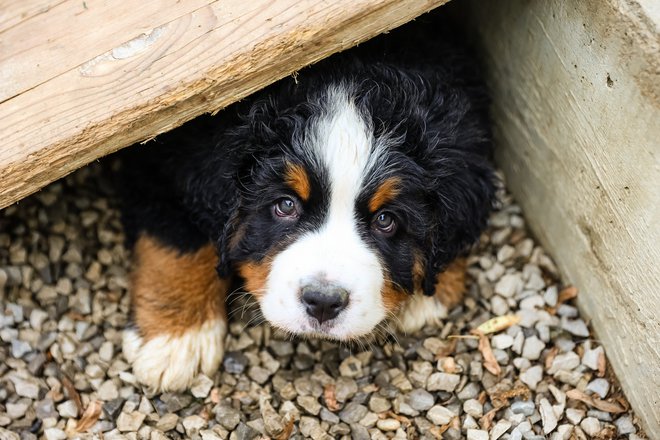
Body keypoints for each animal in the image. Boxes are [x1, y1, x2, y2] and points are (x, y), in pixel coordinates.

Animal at [117, 18, 496, 392]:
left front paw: (428, 294)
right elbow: (180, 241)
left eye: (386, 220)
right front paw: (177, 339)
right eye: (285, 205)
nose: (324, 302)